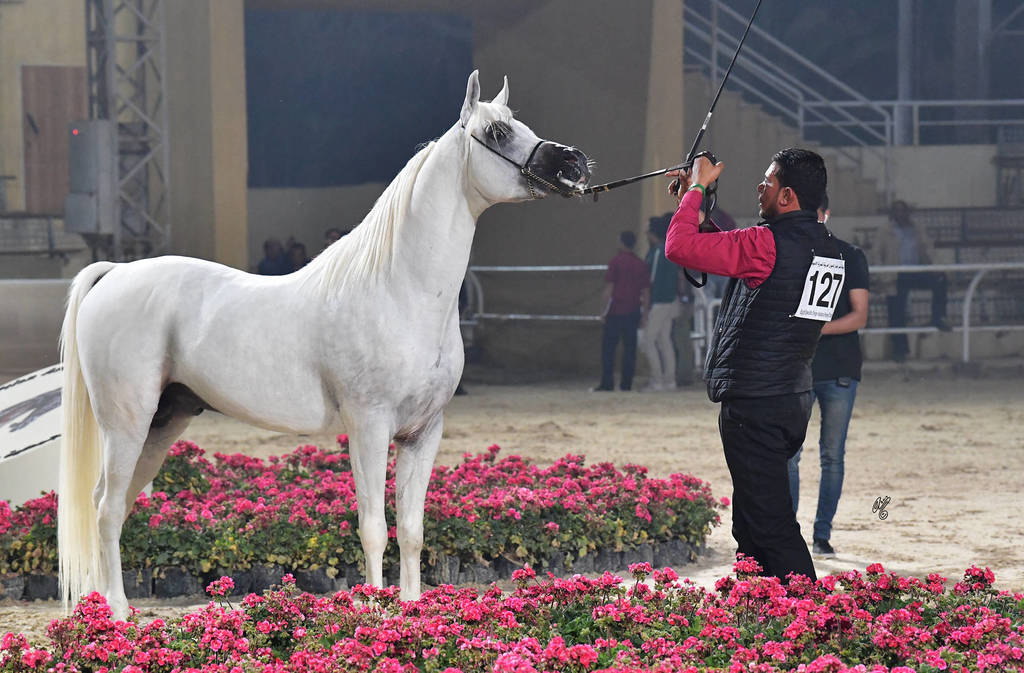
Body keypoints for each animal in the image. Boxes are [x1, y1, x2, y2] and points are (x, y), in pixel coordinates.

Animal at [58, 71, 591, 620]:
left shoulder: (424, 433)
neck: (399, 289)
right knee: (107, 508)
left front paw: (411, 610)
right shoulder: (369, 427)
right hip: (127, 424)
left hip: (163, 424)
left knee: (109, 505)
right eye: (498, 132)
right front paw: (375, 611)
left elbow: (413, 531)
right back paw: (119, 613)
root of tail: (115, 274)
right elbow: (374, 529)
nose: (573, 163)